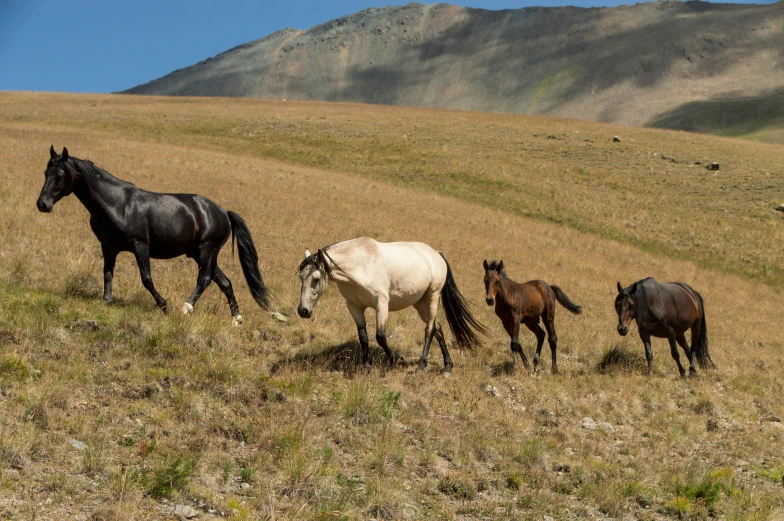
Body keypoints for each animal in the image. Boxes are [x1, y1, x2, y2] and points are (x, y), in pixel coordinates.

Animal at [36, 146, 270, 322]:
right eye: (45, 173)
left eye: (60, 175)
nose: (42, 204)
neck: (117, 203)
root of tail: (223, 212)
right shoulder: (109, 246)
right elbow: (107, 274)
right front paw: (106, 302)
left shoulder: (140, 245)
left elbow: (146, 278)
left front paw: (164, 305)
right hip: (201, 254)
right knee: (224, 282)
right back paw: (236, 319)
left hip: (207, 251)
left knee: (204, 279)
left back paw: (186, 308)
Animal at [298, 238, 486, 372]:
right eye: (300, 277)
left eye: (316, 279)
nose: (303, 311)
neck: (361, 265)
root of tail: (436, 254)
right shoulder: (354, 306)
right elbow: (363, 336)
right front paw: (366, 367)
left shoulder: (381, 304)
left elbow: (380, 336)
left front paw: (397, 360)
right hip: (420, 303)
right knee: (438, 328)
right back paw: (447, 365)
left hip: (432, 296)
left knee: (430, 329)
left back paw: (421, 365)